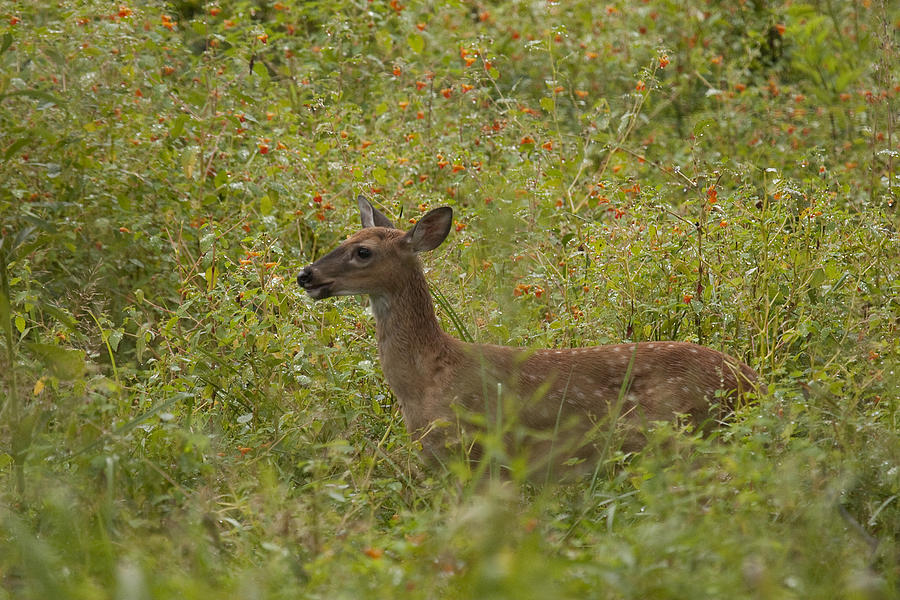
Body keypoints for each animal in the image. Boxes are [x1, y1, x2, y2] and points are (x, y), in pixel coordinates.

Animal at [298, 196, 764, 478]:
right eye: (346, 237)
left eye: (363, 252)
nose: (306, 275)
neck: (424, 379)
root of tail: (753, 381)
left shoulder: (476, 450)